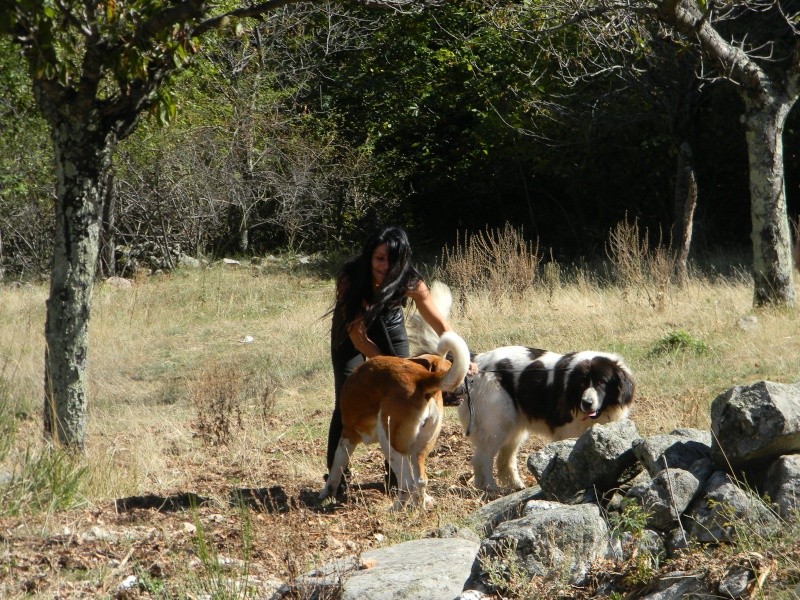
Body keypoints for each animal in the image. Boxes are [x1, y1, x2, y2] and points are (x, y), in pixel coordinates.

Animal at [318, 330, 468, 508]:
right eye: (447, 367)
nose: (466, 386)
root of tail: (422, 377)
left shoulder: (348, 436)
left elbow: (336, 467)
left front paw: (327, 493)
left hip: (389, 442)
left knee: (408, 483)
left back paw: (395, 508)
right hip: (420, 448)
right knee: (420, 480)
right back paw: (419, 504)